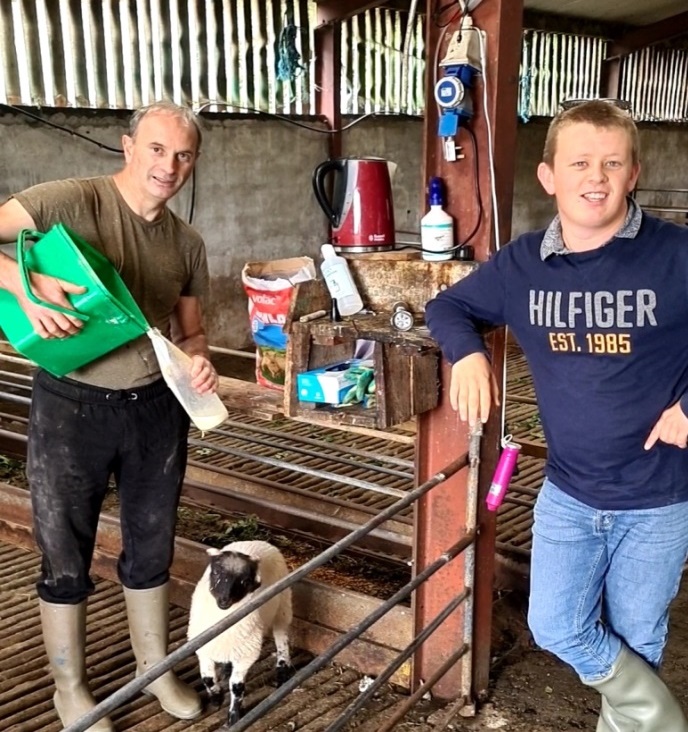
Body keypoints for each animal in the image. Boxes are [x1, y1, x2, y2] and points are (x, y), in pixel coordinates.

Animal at [188, 540, 292, 724]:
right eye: (216, 572)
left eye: (245, 580)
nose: (224, 600)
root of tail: (258, 541)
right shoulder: (203, 649)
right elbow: (207, 678)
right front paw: (216, 698)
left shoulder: (247, 654)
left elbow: (236, 686)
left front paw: (234, 715)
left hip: (283, 606)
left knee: (282, 637)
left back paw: (283, 667)